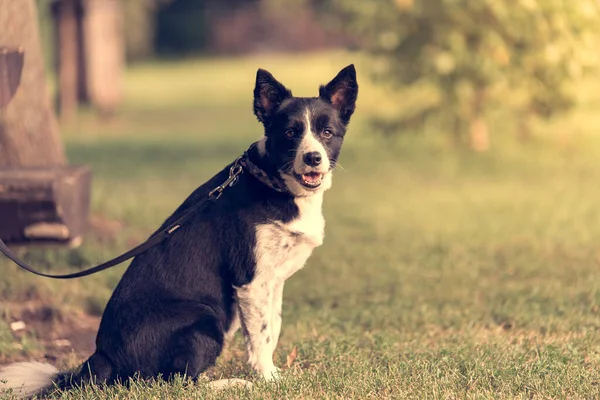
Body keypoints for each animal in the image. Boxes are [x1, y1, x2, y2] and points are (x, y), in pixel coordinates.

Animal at [0, 64, 356, 398]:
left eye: (327, 132)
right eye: (291, 133)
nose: (313, 158)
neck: (273, 183)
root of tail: (100, 359)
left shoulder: (274, 281)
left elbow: (274, 328)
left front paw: (273, 373)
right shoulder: (250, 281)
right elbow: (260, 335)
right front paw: (268, 379)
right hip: (205, 318)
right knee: (178, 381)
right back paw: (231, 383)